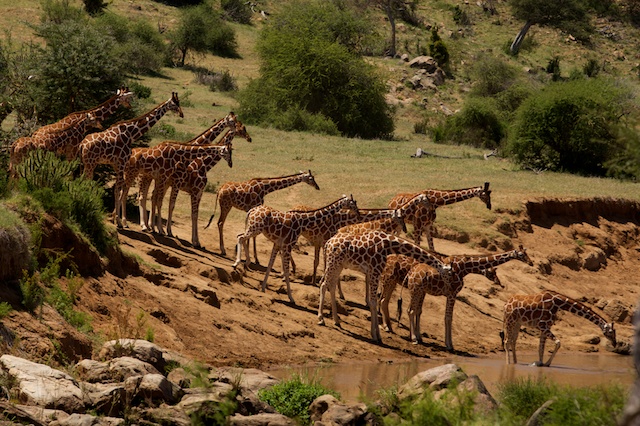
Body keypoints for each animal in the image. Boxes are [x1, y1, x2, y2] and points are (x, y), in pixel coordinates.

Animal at [80, 92, 182, 228]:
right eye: (175, 103)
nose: (181, 114)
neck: (131, 134)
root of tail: (82, 145)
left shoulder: (117, 165)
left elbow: (119, 189)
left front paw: (117, 219)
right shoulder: (121, 163)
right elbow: (118, 189)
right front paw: (118, 221)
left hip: (84, 163)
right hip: (90, 164)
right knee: (86, 180)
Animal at [232, 195, 360, 304]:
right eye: (353, 203)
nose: (358, 212)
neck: (302, 222)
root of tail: (251, 210)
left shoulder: (278, 244)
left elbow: (270, 265)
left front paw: (263, 288)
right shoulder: (288, 245)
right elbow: (286, 271)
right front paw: (291, 297)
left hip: (253, 228)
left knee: (240, 237)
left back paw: (246, 262)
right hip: (254, 229)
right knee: (240, 237)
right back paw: (237, 263)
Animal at [316, 230, 450, 342]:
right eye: (448, 274)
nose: (449, 288)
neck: (390, 245)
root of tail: (328, 243)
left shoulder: (375, 272)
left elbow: (374, 301)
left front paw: (377, 334)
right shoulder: (375, 271)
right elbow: (373, 302)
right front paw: (375, 335)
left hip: (338, 265)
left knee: (331, 285)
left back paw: (336, 321)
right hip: (333, 263)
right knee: (323, 285)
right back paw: (321, 319)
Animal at [378, 246, 532, 350]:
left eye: (527, 254)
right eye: (522, 254)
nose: (531, 262)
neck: (465, 267)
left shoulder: (429, 291)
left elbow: (420, 312)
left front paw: (422, 336)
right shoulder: (452, 293)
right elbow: (448, 318)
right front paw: (449, 345)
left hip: (401, 284)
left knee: (386, 301)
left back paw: (390, 327)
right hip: (397, 282)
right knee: (397, 305)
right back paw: (404, 335)